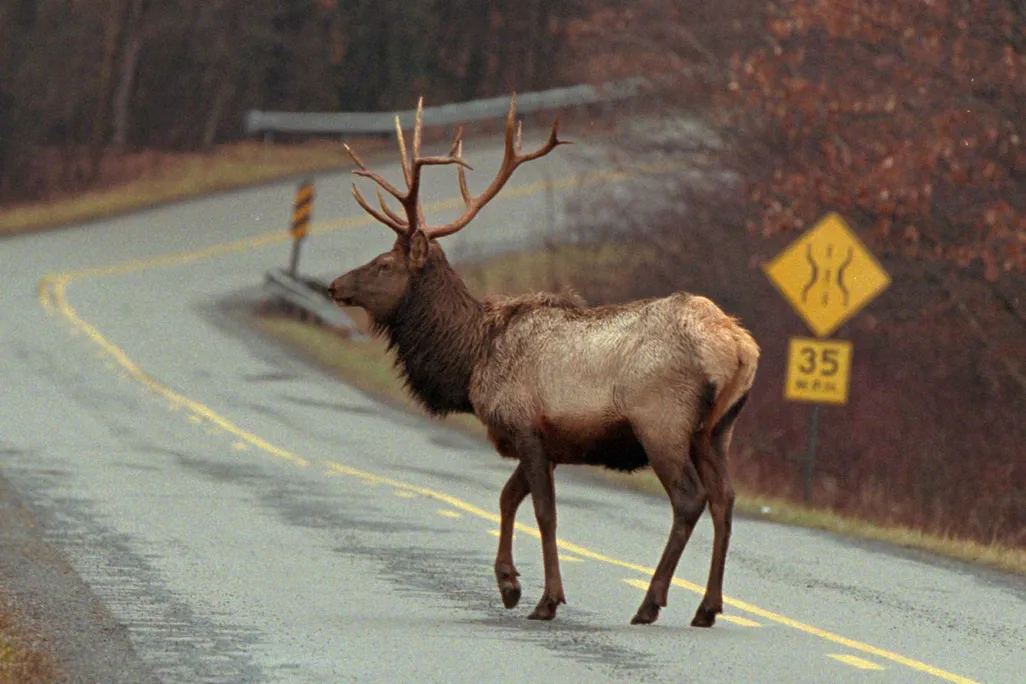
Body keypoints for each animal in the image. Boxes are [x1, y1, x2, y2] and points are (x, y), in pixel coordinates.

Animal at [328, 95, 759, 627]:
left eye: (384, 264)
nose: (334, 285)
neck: (471, 361)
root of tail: (738, 347)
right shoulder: (546, 441)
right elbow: (507, 497)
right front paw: (509, 584)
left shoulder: (526, 426)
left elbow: (543, 513)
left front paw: (545, 599)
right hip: (717, 430)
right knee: (725, 499)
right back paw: (707, 608)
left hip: (662, 421)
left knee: (689, 499)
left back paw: (650, 603)